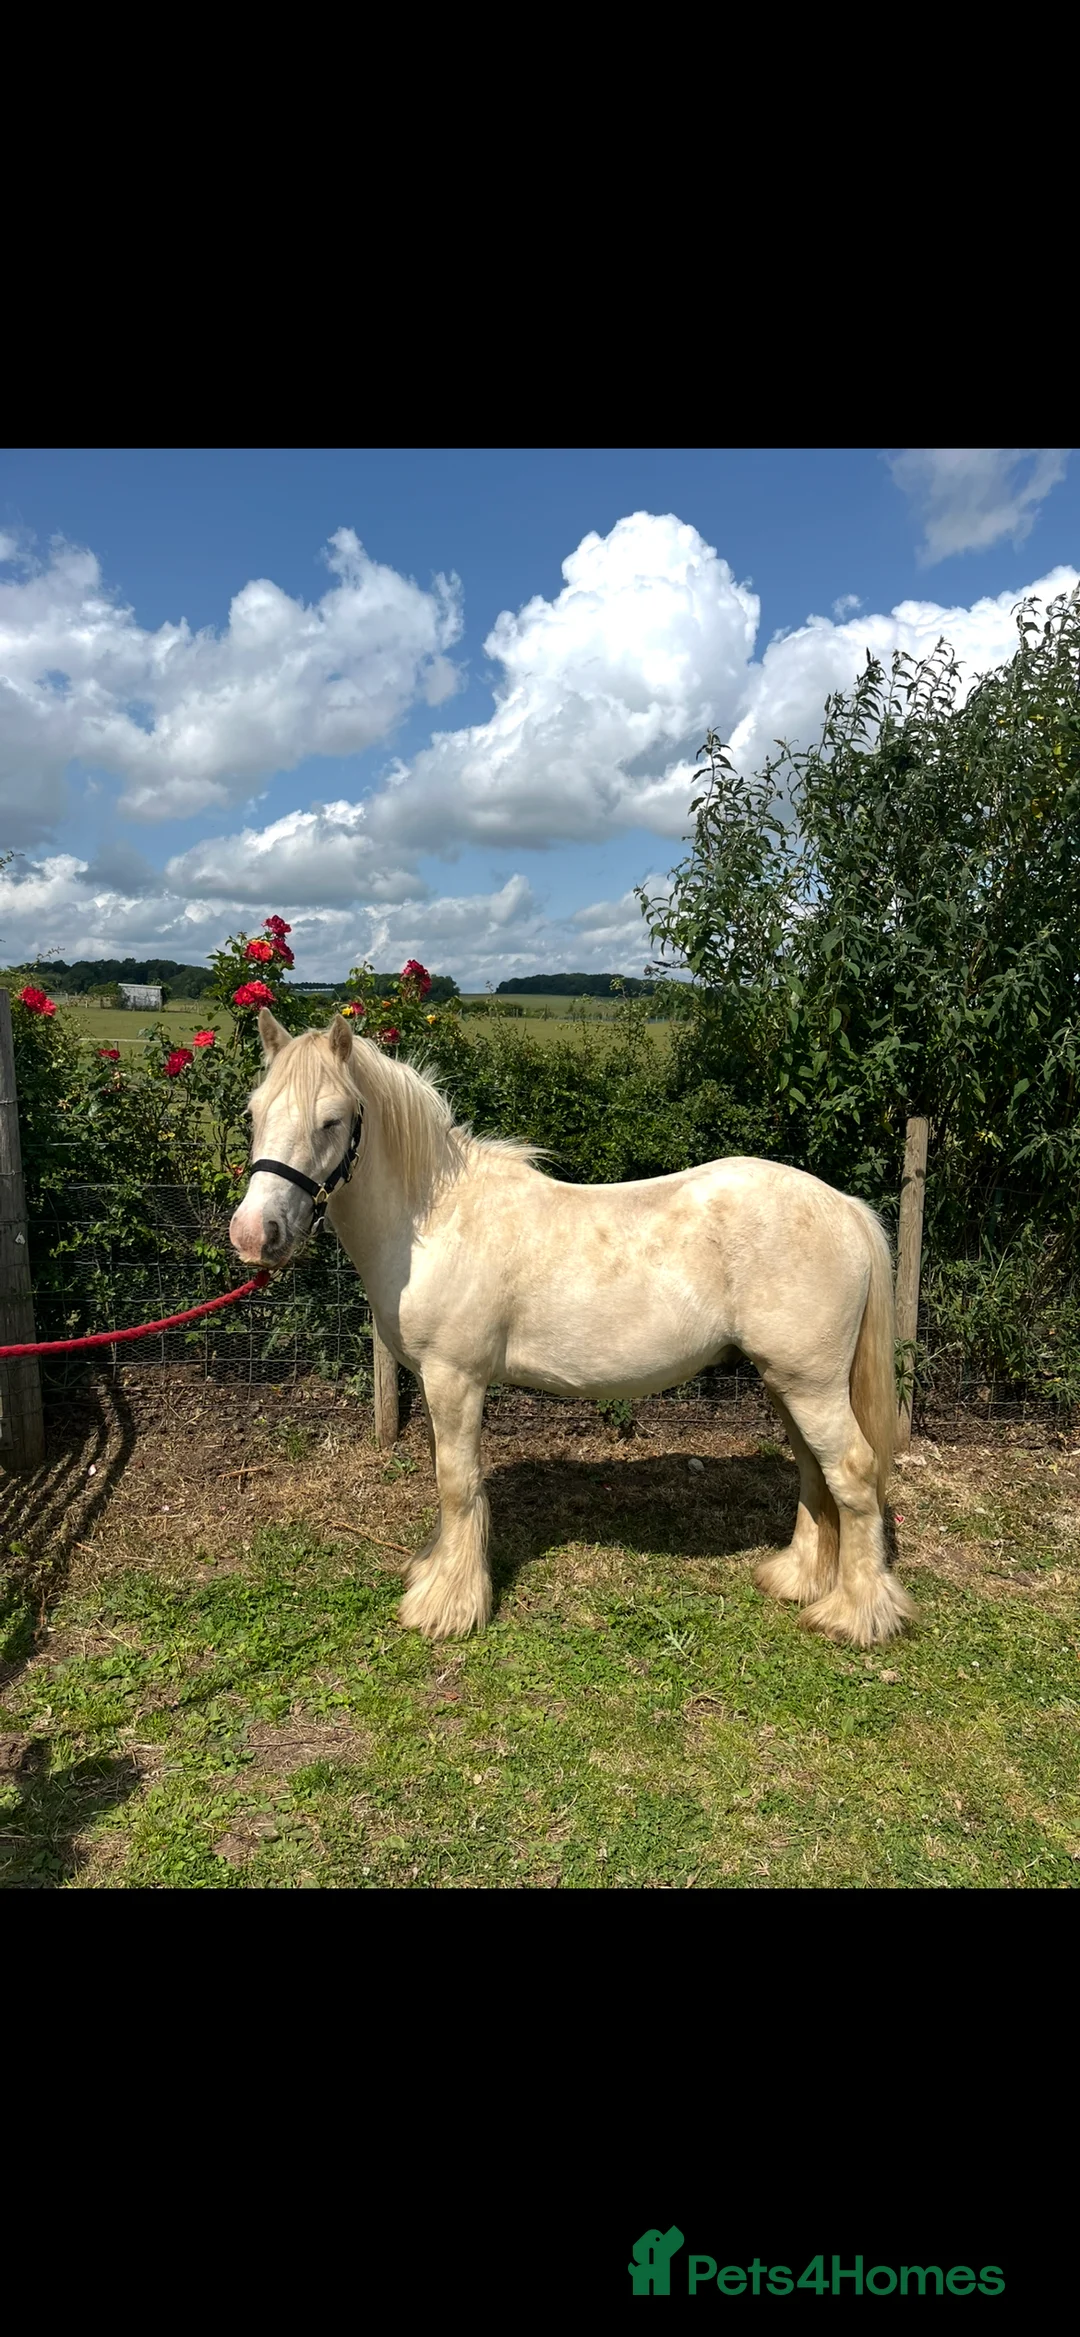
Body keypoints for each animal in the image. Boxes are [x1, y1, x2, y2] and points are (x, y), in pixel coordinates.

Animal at [229, 1010, 917, 1650]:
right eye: (254, 1111)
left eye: (332, 1120)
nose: (254, 1235)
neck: (434, 1220)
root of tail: (844, 1207)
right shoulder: (433, 1382)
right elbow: (447, 1480)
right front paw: (435, 1574)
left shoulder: (454, 1379)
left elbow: (457, 1484)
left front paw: (448, 1607)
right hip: (786, 1382)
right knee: (813, 1471)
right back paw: (797, 1578)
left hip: (810, 1384)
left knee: (852, 1472)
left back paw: (855, 1615)